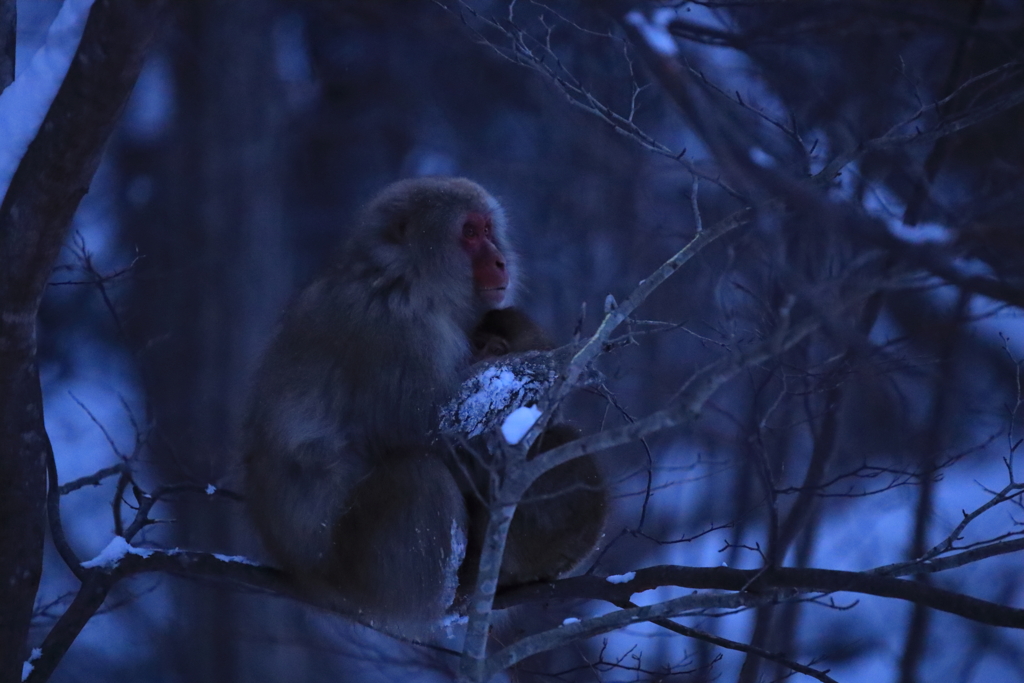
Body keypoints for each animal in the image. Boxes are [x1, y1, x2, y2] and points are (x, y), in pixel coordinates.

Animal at [243, 178, 602, 634]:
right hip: (364, 579)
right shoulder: (394, 328)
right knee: (418, 474)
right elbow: (433, 424)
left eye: (488, 229)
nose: (500, 261)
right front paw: (555, 361)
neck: (407, 280)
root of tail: (308, 582)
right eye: (470, 233)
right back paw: (446, 599)